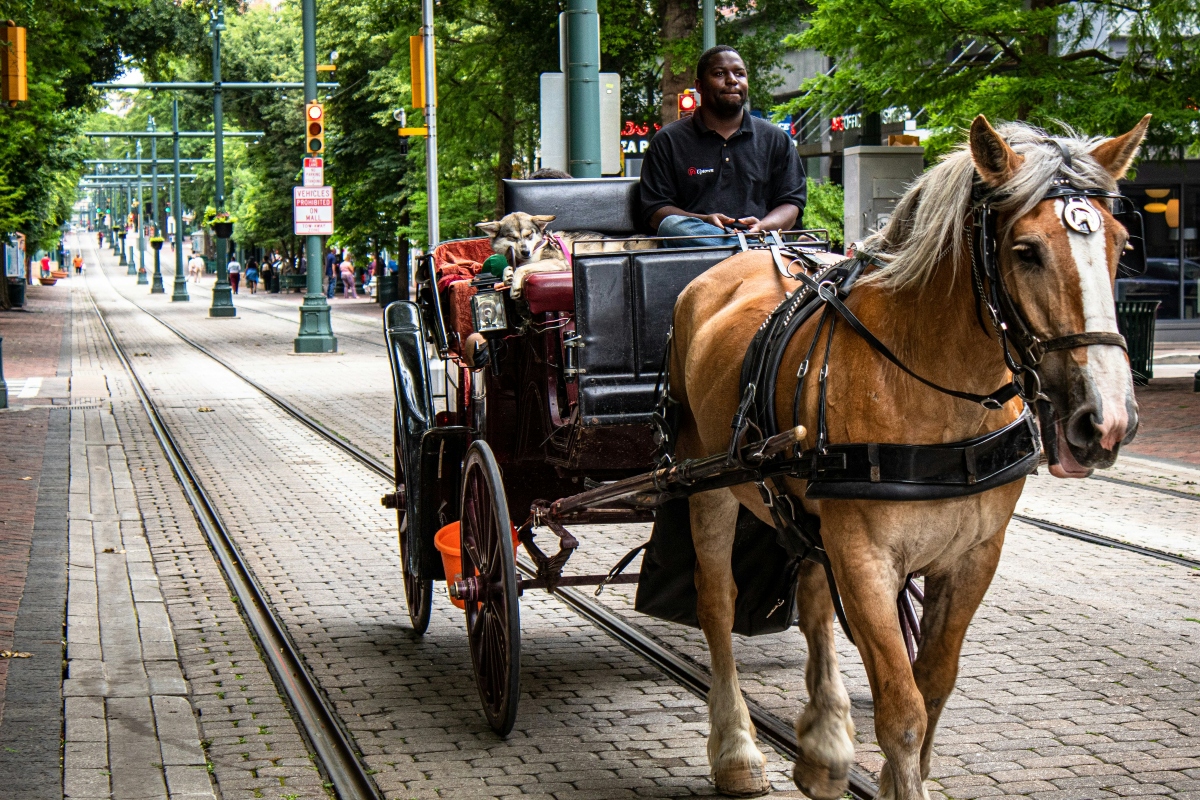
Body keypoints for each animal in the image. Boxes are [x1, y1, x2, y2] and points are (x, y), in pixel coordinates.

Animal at [475, 211, 657, 298]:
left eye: (529, 235)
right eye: (512, 238)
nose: (525, 251)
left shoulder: (557, 262)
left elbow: (522, 268)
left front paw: (515, 287)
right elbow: (508, 269)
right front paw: (508, 277)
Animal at [672, 113, 1147, 800]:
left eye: (1120, 245)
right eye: (1026, 251)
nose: (1107, 419)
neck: (932, 387)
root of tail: (744, 253)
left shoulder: (973, 555)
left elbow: (936, 686)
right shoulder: (866, 556)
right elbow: (902, 711)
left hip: (809, 514)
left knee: (813, 605)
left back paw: (823, 746)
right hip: (706, 485)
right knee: (717, 603)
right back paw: (737, 750)